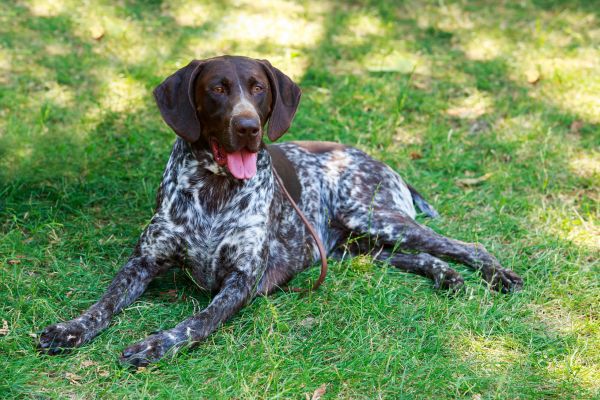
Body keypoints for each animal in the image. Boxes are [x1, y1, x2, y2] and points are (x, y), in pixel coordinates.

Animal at [38, 54, 520, 368]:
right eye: (217, 89)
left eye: (258, 88)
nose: (248, 127)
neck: (214, 189)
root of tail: (382, 163)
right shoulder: (144, 261)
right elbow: (105, 301)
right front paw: (71, 329)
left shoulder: (241, 281)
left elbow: (196, 322)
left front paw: (156, 344)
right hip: (357, 248)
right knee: (420, 256)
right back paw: (446, 277)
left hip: (374, 217)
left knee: (463, 245)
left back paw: (498, 275)